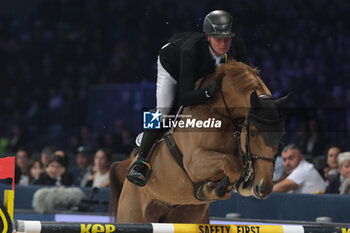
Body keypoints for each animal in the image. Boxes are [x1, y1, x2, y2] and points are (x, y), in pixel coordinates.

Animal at [110, 59, 290, 222]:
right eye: (253, 133)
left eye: (282, 134)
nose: (264, 188)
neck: (220, 112)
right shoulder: (194, 162)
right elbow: (230, 163)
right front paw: (215, 188)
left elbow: (234, 165)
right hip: (134, 212)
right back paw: (138, 172)